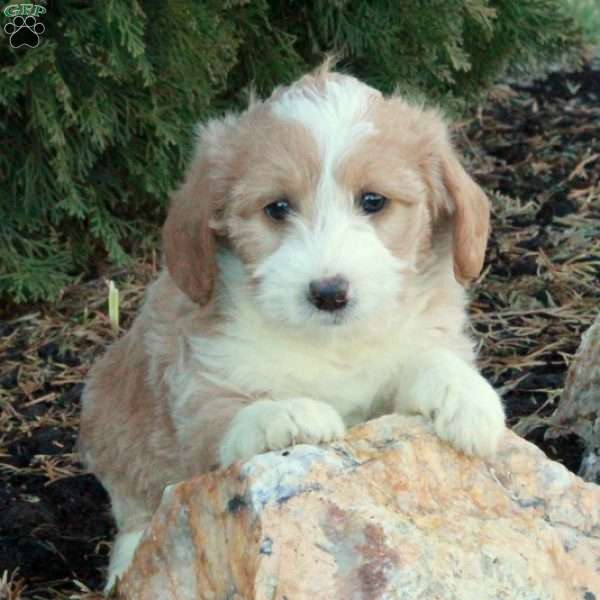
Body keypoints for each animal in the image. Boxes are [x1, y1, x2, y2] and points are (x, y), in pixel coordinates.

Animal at [77, 63, 504, 588]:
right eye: (278, 208)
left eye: (373, 201)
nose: (329, 293)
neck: (333, 345)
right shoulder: (199, 386)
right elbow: (232, 415)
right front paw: (287, 415)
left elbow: (431, 360)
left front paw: (466, 398)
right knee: (136, 509)